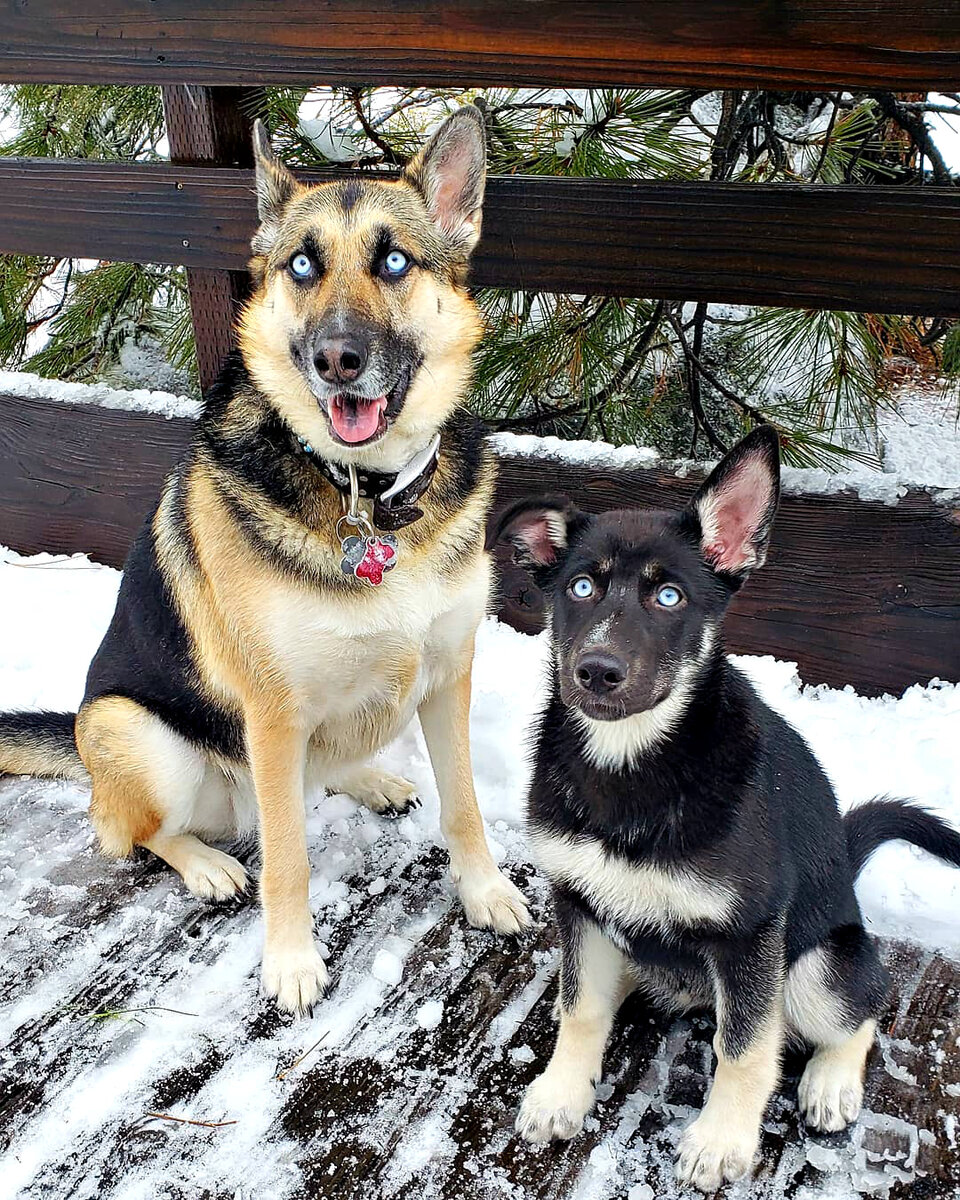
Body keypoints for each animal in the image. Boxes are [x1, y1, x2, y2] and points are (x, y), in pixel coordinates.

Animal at [494, 429, 960, 1190]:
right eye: (580, 587)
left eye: (669, 596)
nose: (595, 671)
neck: (636, 768)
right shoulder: (579, 903)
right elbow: (579, 1006)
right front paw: (563, 1091)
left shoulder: (750, 935)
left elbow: (744, 1046)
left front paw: (721, 1141)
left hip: (815, 964)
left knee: (862, 1003)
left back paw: (831, 1081)